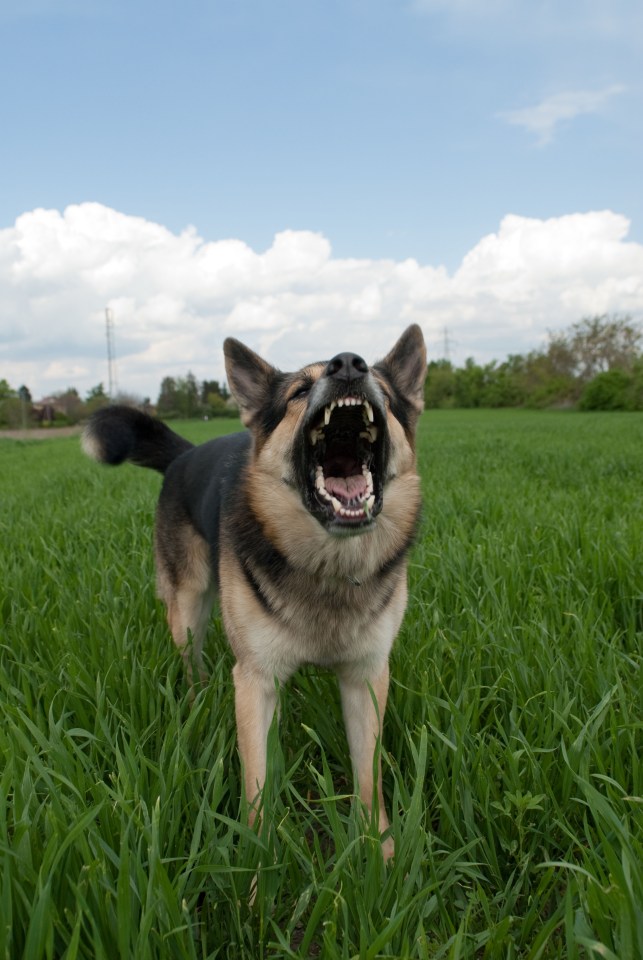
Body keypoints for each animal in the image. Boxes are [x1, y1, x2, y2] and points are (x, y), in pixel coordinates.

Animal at [84, 326, 428, 860]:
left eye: (387, 396)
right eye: (299, 391)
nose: (349, 365)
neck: (327, 565)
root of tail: (185, 454)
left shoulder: (367, 678)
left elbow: (368, 777)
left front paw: (382, 853)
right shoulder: (254, 679)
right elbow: (257, 783)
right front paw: (258, 863)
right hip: (188, 608)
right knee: (193, 665)